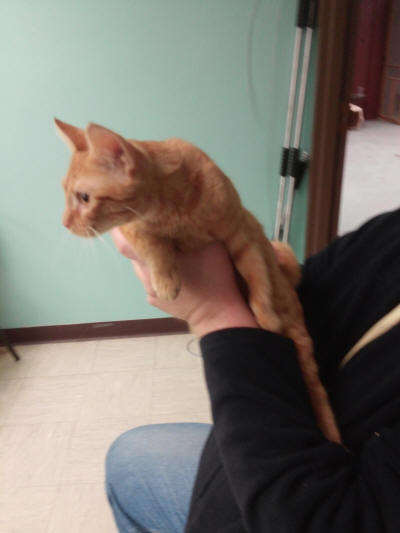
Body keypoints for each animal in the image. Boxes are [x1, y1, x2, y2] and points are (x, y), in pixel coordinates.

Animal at [55, 118, 342, 445]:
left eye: (83, 197)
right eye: (65, 193)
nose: (65, 223)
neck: (173, 210)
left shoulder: (243, 233)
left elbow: (258, 280)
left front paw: (266, 317)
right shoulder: (134, 229)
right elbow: (154, 243)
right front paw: (166, 278)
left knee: (316, 394)